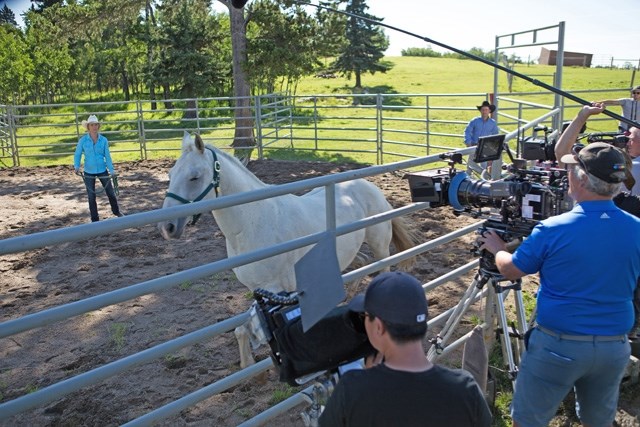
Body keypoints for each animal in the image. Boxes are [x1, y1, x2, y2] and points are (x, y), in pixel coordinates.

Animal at [158, 133, 412, 368]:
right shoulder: (257, 289)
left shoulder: (274, 288)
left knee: (381, 270)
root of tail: (369, 186)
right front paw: (247, 365)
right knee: (359, 265)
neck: (254, 221)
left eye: (194, 176)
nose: (167, 227)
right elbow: (241, 330)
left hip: (380, 247)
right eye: (170, 175)